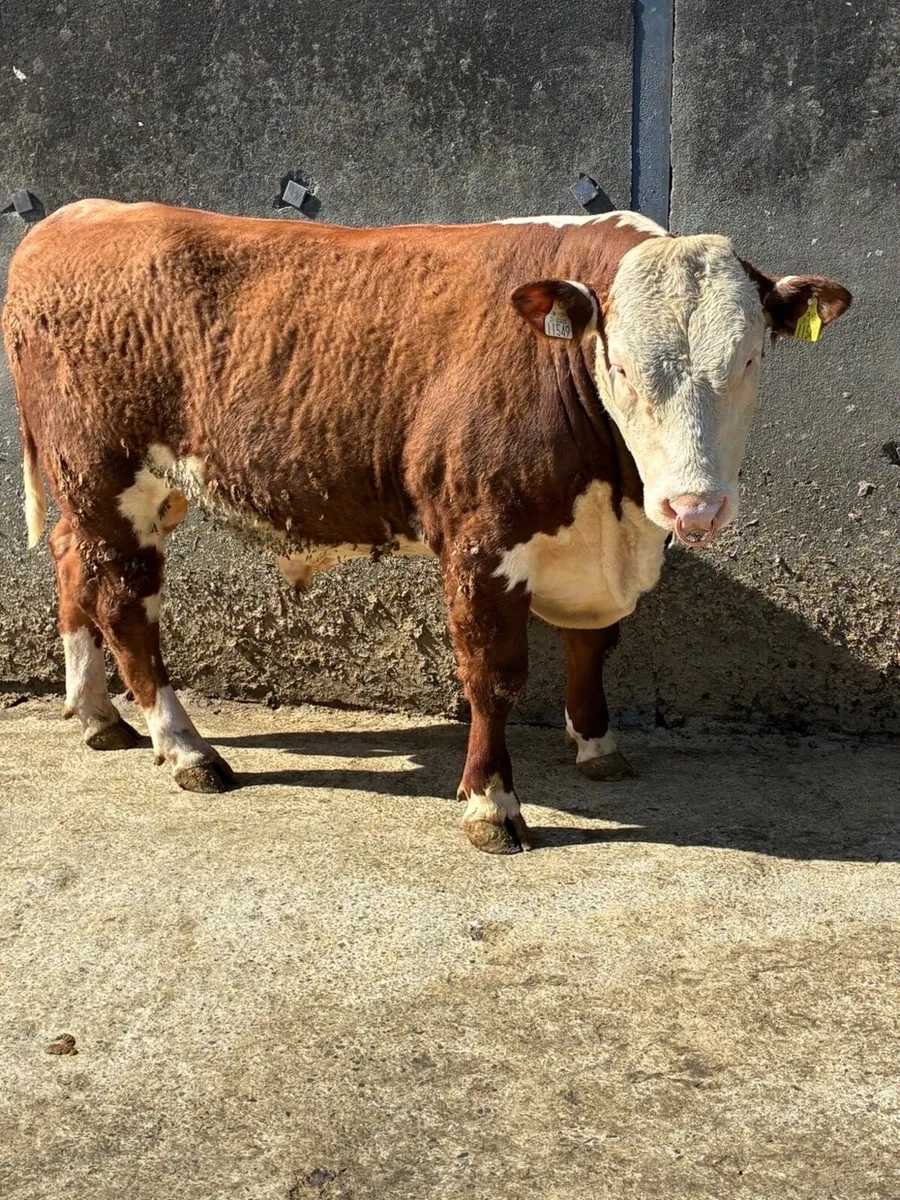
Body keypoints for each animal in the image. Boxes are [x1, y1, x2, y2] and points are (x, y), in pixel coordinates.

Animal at [2, 200, 851, 853]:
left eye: (749, 361)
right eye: (622, 367)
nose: (692, 507)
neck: (616, 512)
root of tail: (74, 216)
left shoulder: (587, 550)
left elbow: (590, 648)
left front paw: (597, 745)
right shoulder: (481, 541)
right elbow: (492, 677)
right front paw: (490, 806)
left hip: (118, 492)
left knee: (76, 569)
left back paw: (98, 714)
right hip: (107, 476)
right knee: (126, 606)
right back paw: (184, 748)